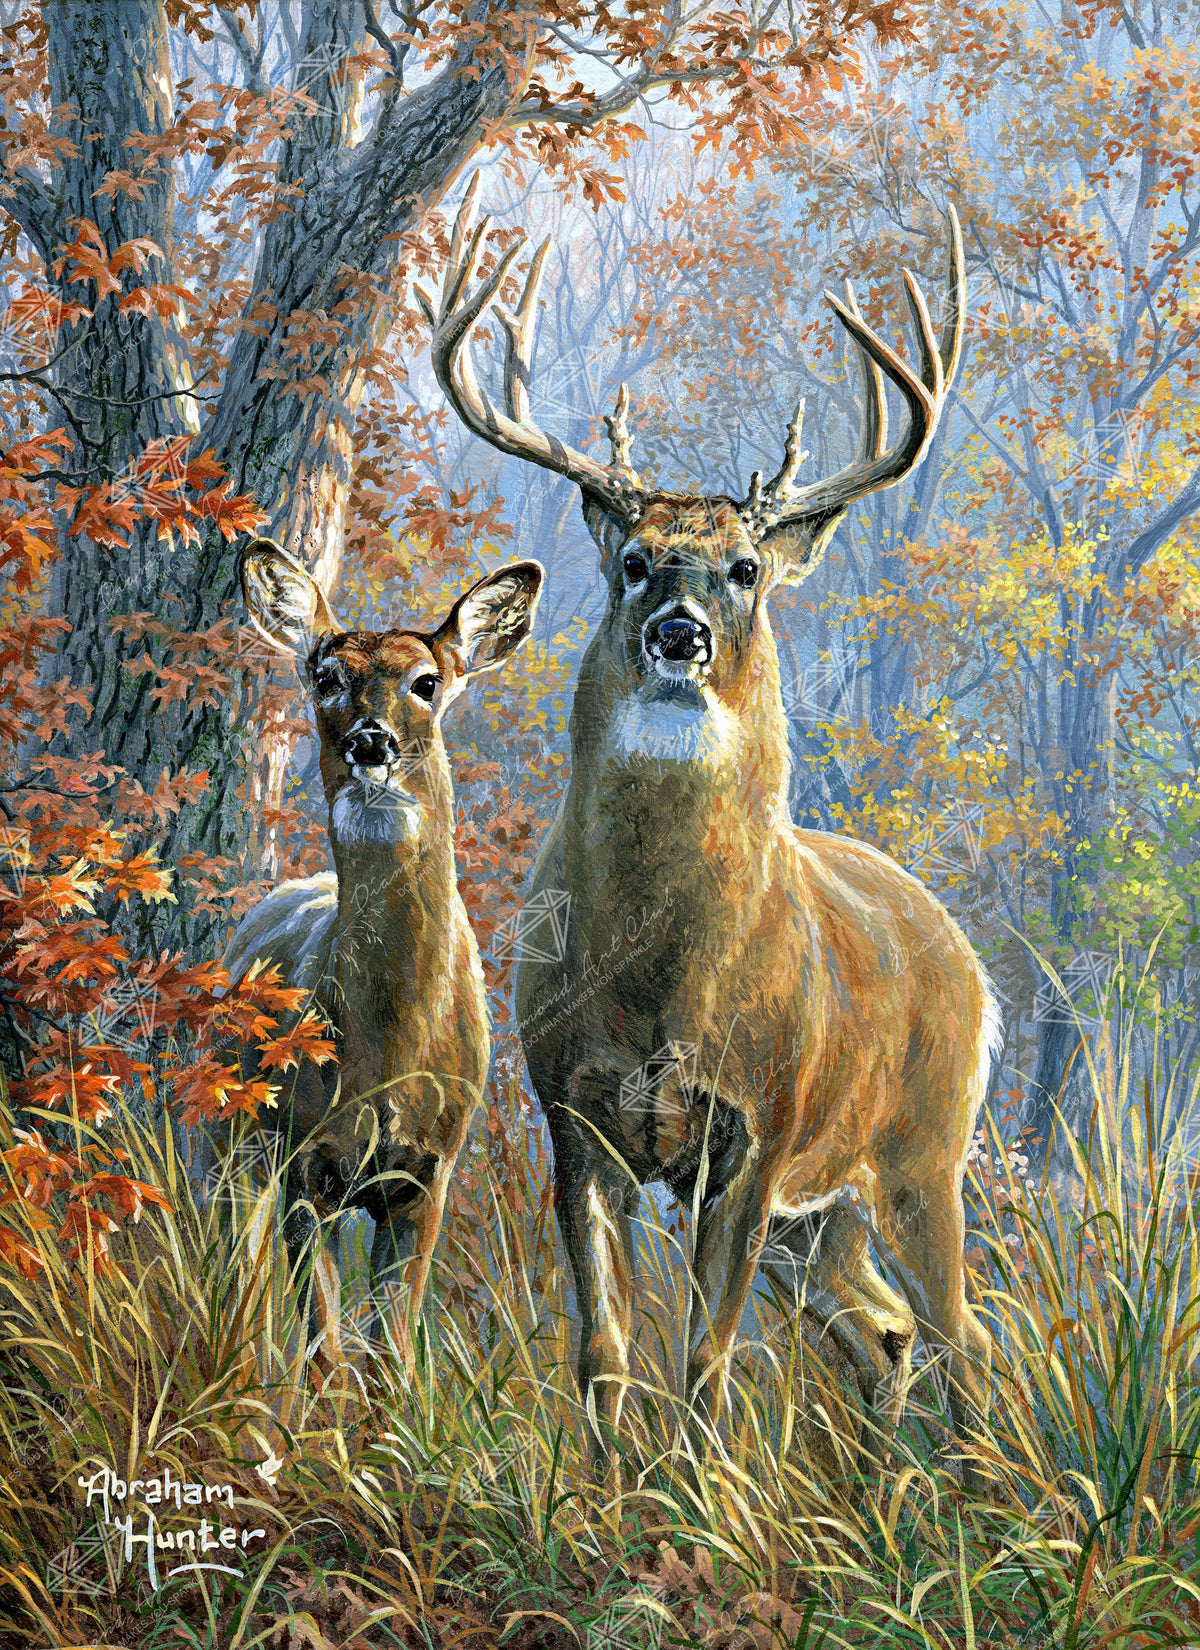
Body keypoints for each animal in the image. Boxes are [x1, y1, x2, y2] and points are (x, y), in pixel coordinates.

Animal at [223, 536, 543, 1371]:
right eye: (326, 676)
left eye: (427, 681)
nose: (371, 741)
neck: (392, 1053)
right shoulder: (309, 1165)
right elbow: (328, 1353)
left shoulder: (426, 1174)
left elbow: (390, 1351)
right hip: (228, 1132)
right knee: (235, 1262)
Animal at [418, 175, 999, 1484]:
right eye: (633, 559)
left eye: (744, 569)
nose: (678, 633)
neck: (662, 979)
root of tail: (969, 960)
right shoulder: (571, 1111)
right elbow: (603, 1349)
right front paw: (603, 1499)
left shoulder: (758, 1130)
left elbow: (706, 1357)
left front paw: (690, 1499)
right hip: (824, 1220)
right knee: (886, 1331)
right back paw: (895, 1488)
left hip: (920, 1149)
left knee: (962, 1330)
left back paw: (989, 1499)